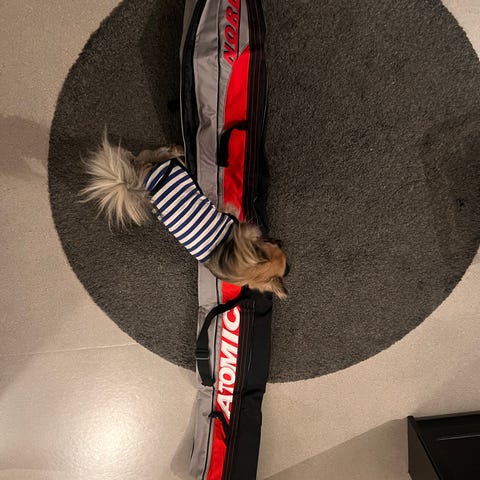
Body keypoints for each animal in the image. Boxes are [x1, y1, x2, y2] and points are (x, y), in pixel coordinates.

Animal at [80, 134, 288, 299]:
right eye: (269, 243)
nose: (280, 241)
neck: (228, 250)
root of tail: (138, 183)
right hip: (165, 160)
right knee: (165, 152)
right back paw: (178, 149)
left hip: (150, 165)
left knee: (140, 158)